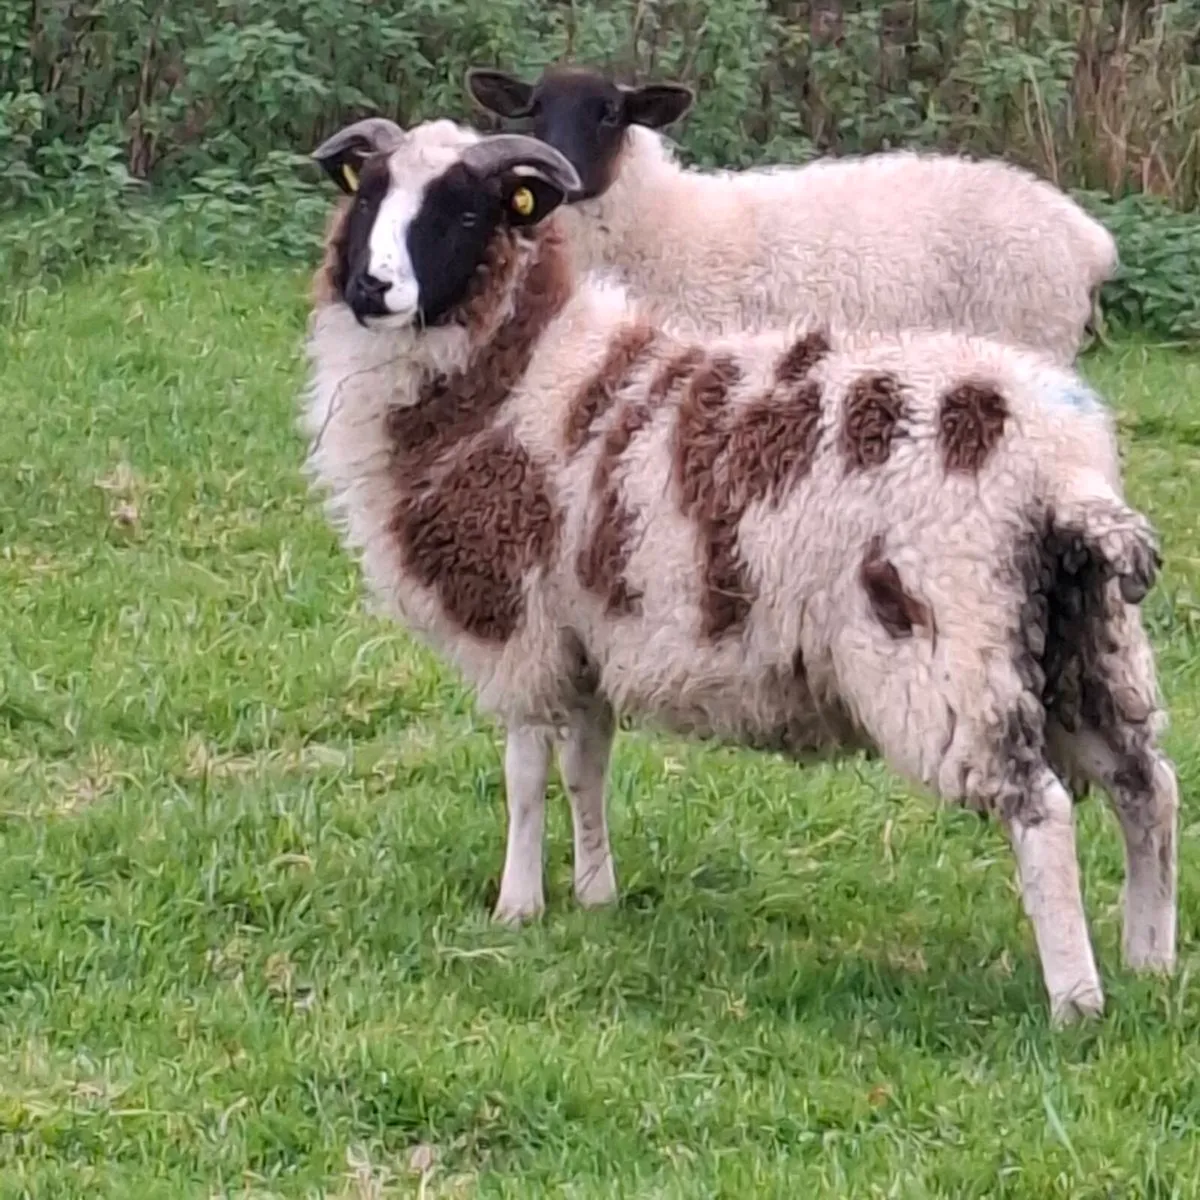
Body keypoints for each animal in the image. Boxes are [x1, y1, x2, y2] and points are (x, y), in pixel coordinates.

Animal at [302, 114, 1177, 1025]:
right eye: (368, 194)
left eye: (466, 212)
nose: (371, 287)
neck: (518, 373)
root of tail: (1063, 472)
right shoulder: (587, 632)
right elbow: (585, 769)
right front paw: (595, 896)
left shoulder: (521, 627)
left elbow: (524, 776)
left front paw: (518, 908)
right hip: (1086, 638)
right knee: (1147, 789)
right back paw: (1151, 964)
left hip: (949, 651)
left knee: (1041, 810)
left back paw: (1076, 1001)